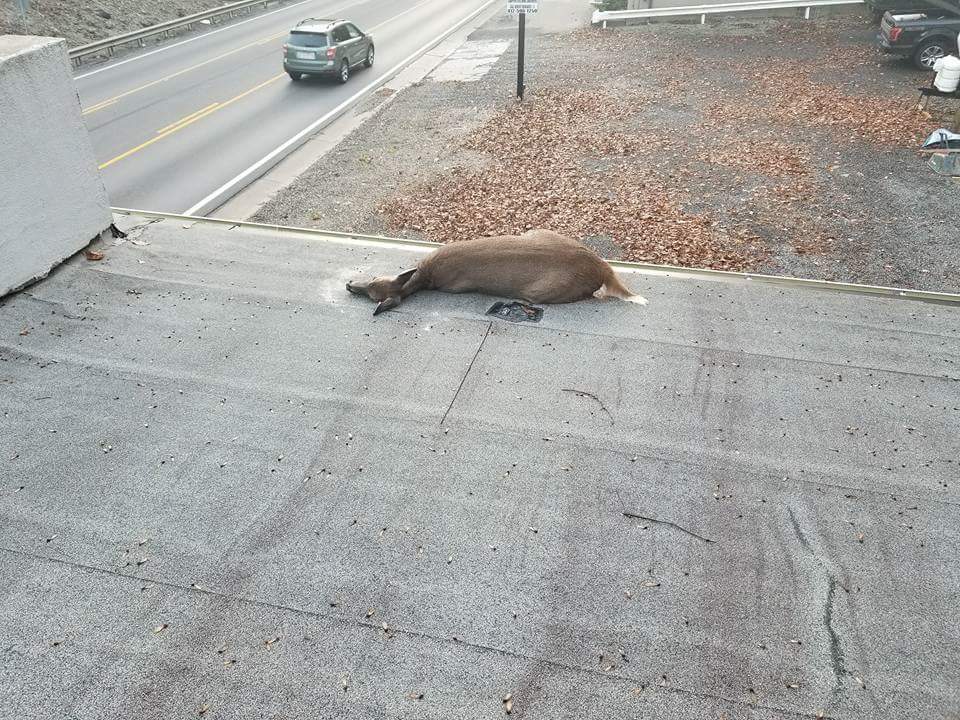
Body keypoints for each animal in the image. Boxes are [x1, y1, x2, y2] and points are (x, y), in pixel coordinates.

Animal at [342, 228, 648, 312]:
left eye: (372, 290)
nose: (349, 284)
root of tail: (602, 267)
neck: (425, 275)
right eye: (371, 281)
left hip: (543, 290)